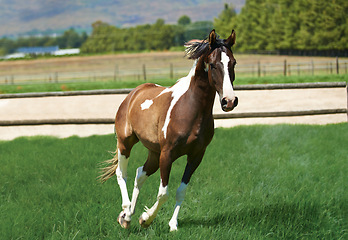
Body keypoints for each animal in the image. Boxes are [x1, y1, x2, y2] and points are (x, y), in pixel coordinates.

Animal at [100, 29, 237, 232]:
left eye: (233, 63)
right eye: (212, 64)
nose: (229, 101)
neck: (190, 109)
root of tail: (133, 94)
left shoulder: (196, 155)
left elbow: (181, 191)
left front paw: (172, 224)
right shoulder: (168, 154)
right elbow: (163, 193)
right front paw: (146, 219)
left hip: (154, 152)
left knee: (140, 174)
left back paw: (127, 216)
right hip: (125, 143)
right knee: (121, 173)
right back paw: (126, 214)